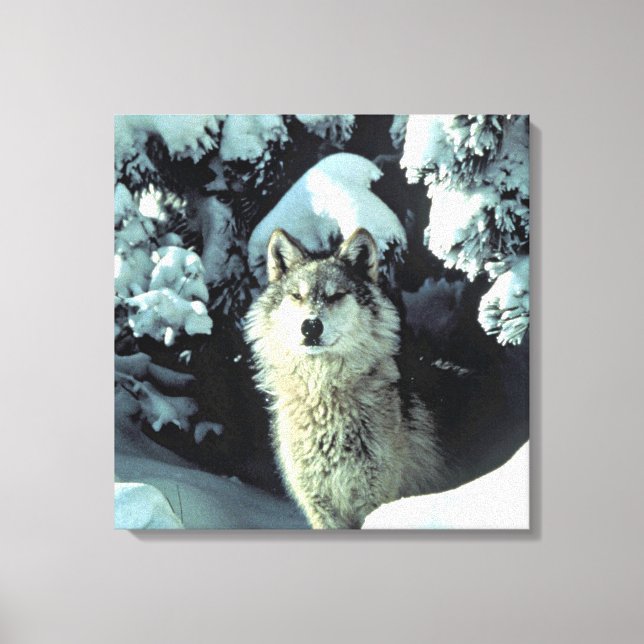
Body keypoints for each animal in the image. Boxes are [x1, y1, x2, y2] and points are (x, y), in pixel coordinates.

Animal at [244, 228, 450, 529]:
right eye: (297, 296)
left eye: (335, 296)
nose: (311, 326)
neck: (324, 397)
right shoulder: (320, 508)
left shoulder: (375, 500)